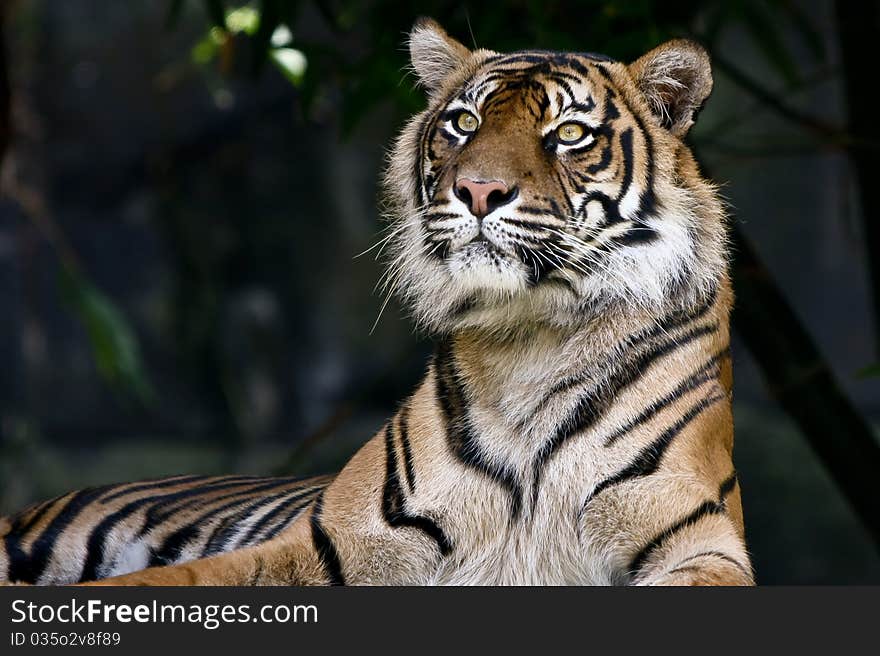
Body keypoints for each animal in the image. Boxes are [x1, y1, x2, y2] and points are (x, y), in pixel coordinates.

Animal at [3, 19, 752, 584]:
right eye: (463, 123)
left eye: (569, 134)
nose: (477, 190)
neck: (530, 336)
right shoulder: (330, 547)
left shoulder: (697, 543)